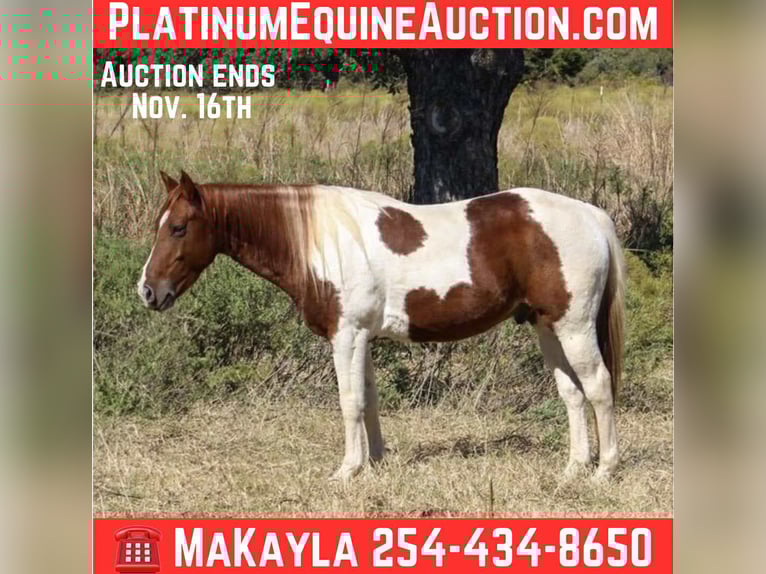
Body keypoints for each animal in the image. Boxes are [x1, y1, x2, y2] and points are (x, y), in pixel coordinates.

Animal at [138, 170, 625, 482]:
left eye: (178, 227)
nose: (147, 290)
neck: (318, 240)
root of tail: (591, 215)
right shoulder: (363, 338)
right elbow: (369, 400)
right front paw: (374, 461)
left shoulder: (346, 335)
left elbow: (349, 401)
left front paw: (347, 470)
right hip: (546, 326)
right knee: (571, 393)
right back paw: (573, 468)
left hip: (574, 326)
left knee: (599, 387)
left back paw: (604, 470)